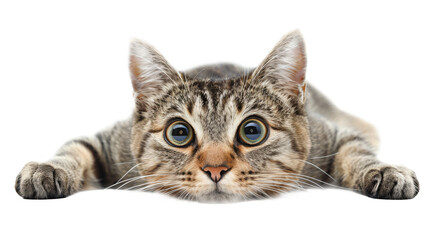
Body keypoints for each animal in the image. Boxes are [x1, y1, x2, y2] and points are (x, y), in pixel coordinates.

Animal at [15, 31, 418, 202]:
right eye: (179, 133)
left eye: (252, 131)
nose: (215, 170)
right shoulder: (111, 142)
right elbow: (74, 149)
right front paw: (47, 169)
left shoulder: (332, 136)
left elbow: (358, 152)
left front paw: (385, 171)